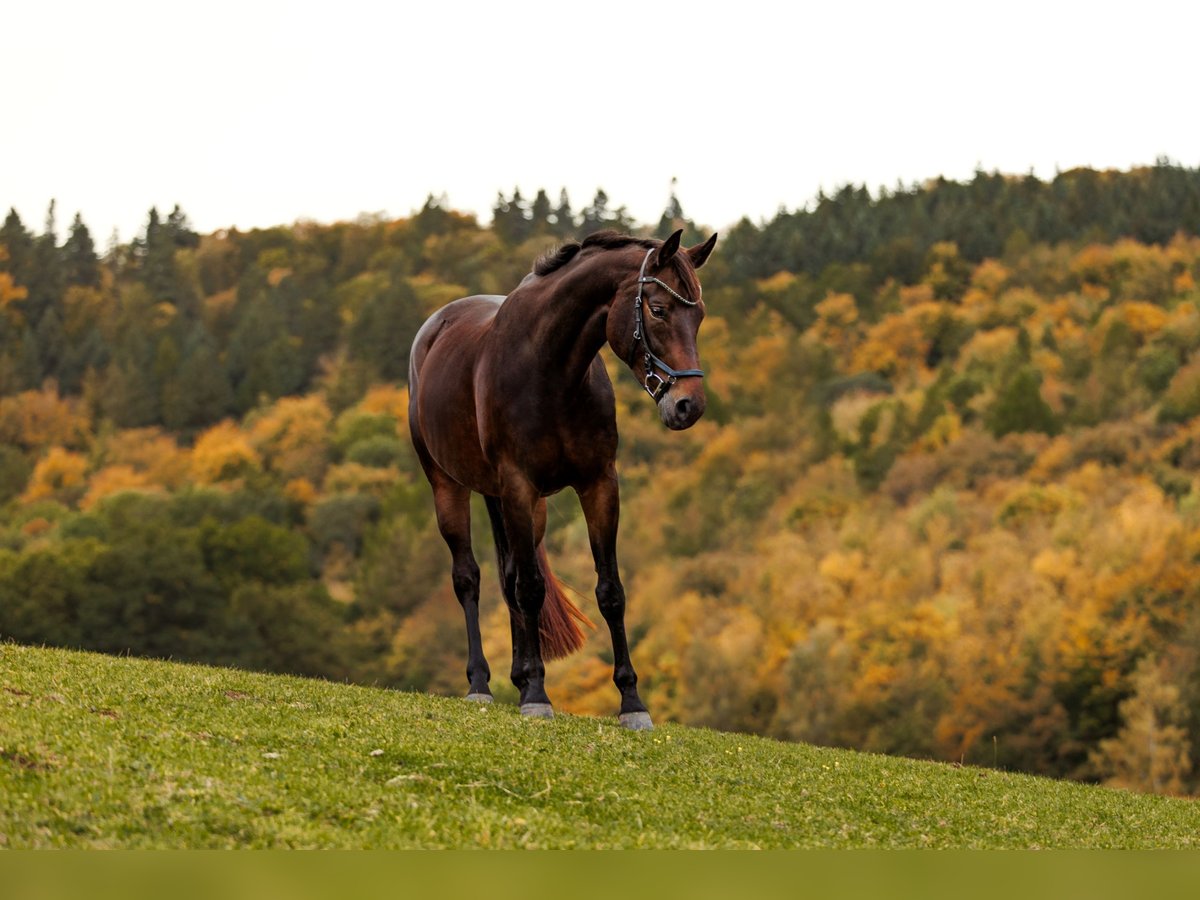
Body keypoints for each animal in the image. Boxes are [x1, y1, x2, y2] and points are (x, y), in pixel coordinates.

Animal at [408, 229, 715, 729]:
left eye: (699, 316)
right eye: (658, 309)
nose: (689, 405)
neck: (550, 371)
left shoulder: (598, 485)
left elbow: (609, 591)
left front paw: (632, 702)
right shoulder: (519, 486)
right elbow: (531, 589)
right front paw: (537, 695)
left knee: (508, 575)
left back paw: (515, 676)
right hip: (448, 487)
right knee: (469, 577)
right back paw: (481, 684)